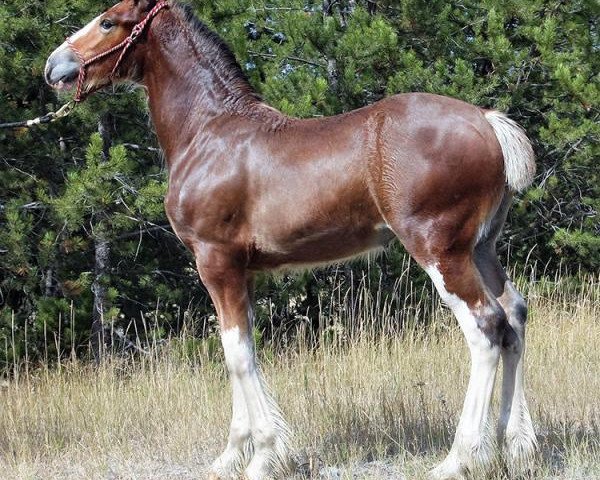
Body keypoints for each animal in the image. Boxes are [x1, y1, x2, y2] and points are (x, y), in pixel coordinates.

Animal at [44, 1, 536, 478]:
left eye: (108, 21)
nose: (54, 66)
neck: (209, 132)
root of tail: (487, 120)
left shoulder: (215, 261)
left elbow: (237, 355)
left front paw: (264, 457)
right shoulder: (242, 272)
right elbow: (240, 348)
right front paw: (231, 456)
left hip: (439, 249)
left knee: (486, 327)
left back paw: (460, 458)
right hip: (480, 248)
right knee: (513, 316)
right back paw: (516, 447)